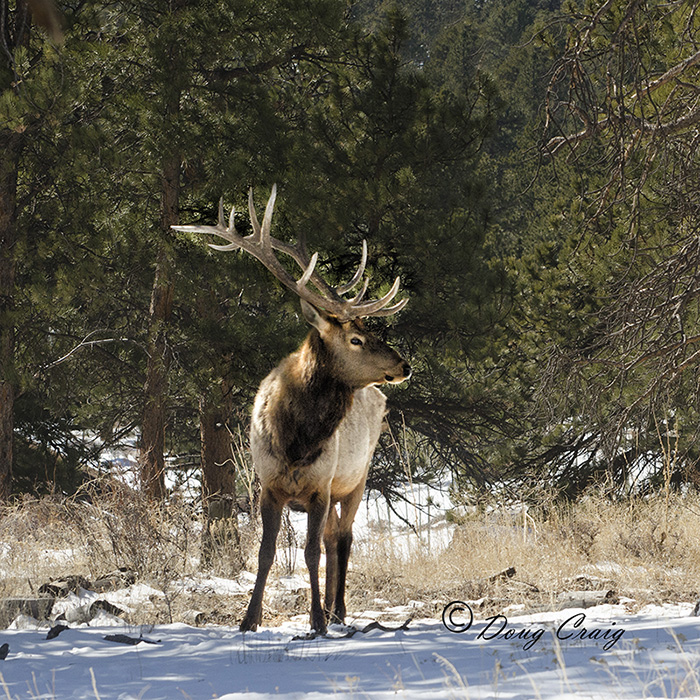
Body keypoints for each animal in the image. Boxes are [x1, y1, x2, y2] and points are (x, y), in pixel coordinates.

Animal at [173, 185, 411, 634]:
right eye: (356, 339)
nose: (404, 365)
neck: (295, 440)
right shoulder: (269, 485)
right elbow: (266, 553)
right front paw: (249, 619)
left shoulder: (320, 486)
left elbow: (310, 551)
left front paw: (315, 619)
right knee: (335, 537)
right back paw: (335, 610)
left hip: (357, 477)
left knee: (342, 538)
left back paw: (337, 611)